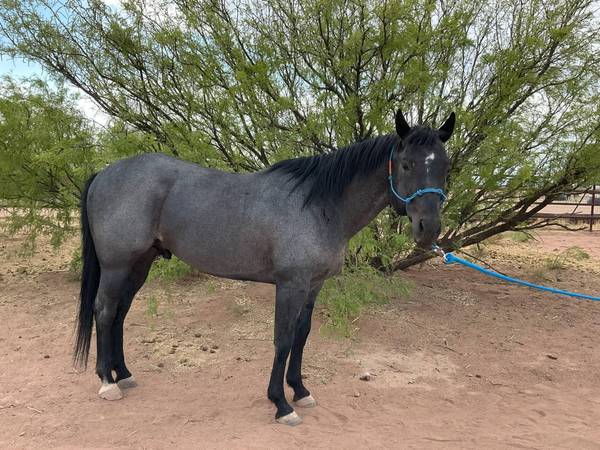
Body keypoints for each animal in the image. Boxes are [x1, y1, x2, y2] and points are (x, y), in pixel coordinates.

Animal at [74, 109, 454, 426]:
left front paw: (300, 391)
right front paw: (281, 404)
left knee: (120, 313)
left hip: (140, 264)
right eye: (406, 164)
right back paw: (107, 382)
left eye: (445, 167)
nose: (429, 229)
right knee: (104, 311)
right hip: (116, 265)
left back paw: (123, 373)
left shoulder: (313, 285)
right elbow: (282, 339)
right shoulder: (290, 284)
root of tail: (105, 173)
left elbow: (302, 335)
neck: (319, 206)